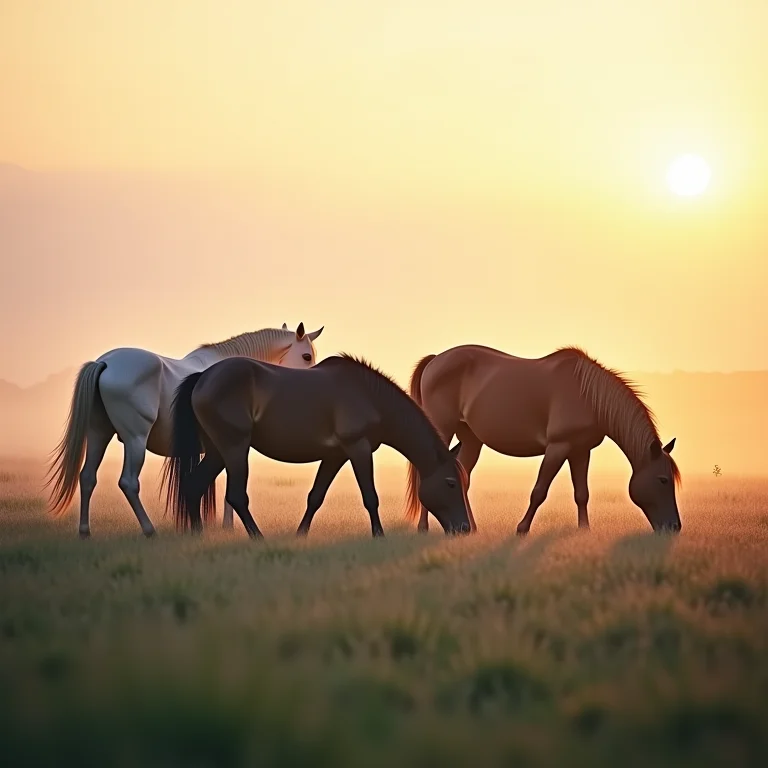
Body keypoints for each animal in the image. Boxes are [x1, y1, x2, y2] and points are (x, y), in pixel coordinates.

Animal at [45, 323, 324, 538]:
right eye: (306, 356)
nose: (312, 387)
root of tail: (105, 362)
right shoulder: (230, 446)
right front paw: (227, 527)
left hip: (98, 434)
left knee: (87, 477)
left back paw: (85, 532)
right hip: (135, 440)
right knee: (128, 483)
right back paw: (149, 530)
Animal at [162, 354, 472, 538]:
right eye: (451, 483)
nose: (464, 528)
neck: (370, 396)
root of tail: (203, 377)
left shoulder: (335, 455)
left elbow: (316, 496)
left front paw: (301, 534)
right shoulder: (357, 449)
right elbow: (370, 497)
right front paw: (379, 536)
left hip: (217, 452)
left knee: (194, 485)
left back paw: (197, 535)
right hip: (235, 448)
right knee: (236, 496)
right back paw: (257, 539)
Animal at [405, 344, 681, 535]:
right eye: (663, 479)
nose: (674, 526)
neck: (588, 396)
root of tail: (435, 360)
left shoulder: (580, 451)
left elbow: (582, 493)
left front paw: (584, 530)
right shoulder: (558, 448)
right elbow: (539, 491)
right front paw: (521, 529)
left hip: (471, 438)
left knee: (463, 476)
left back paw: (470, 528)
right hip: (442, 427)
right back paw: (424, 528)